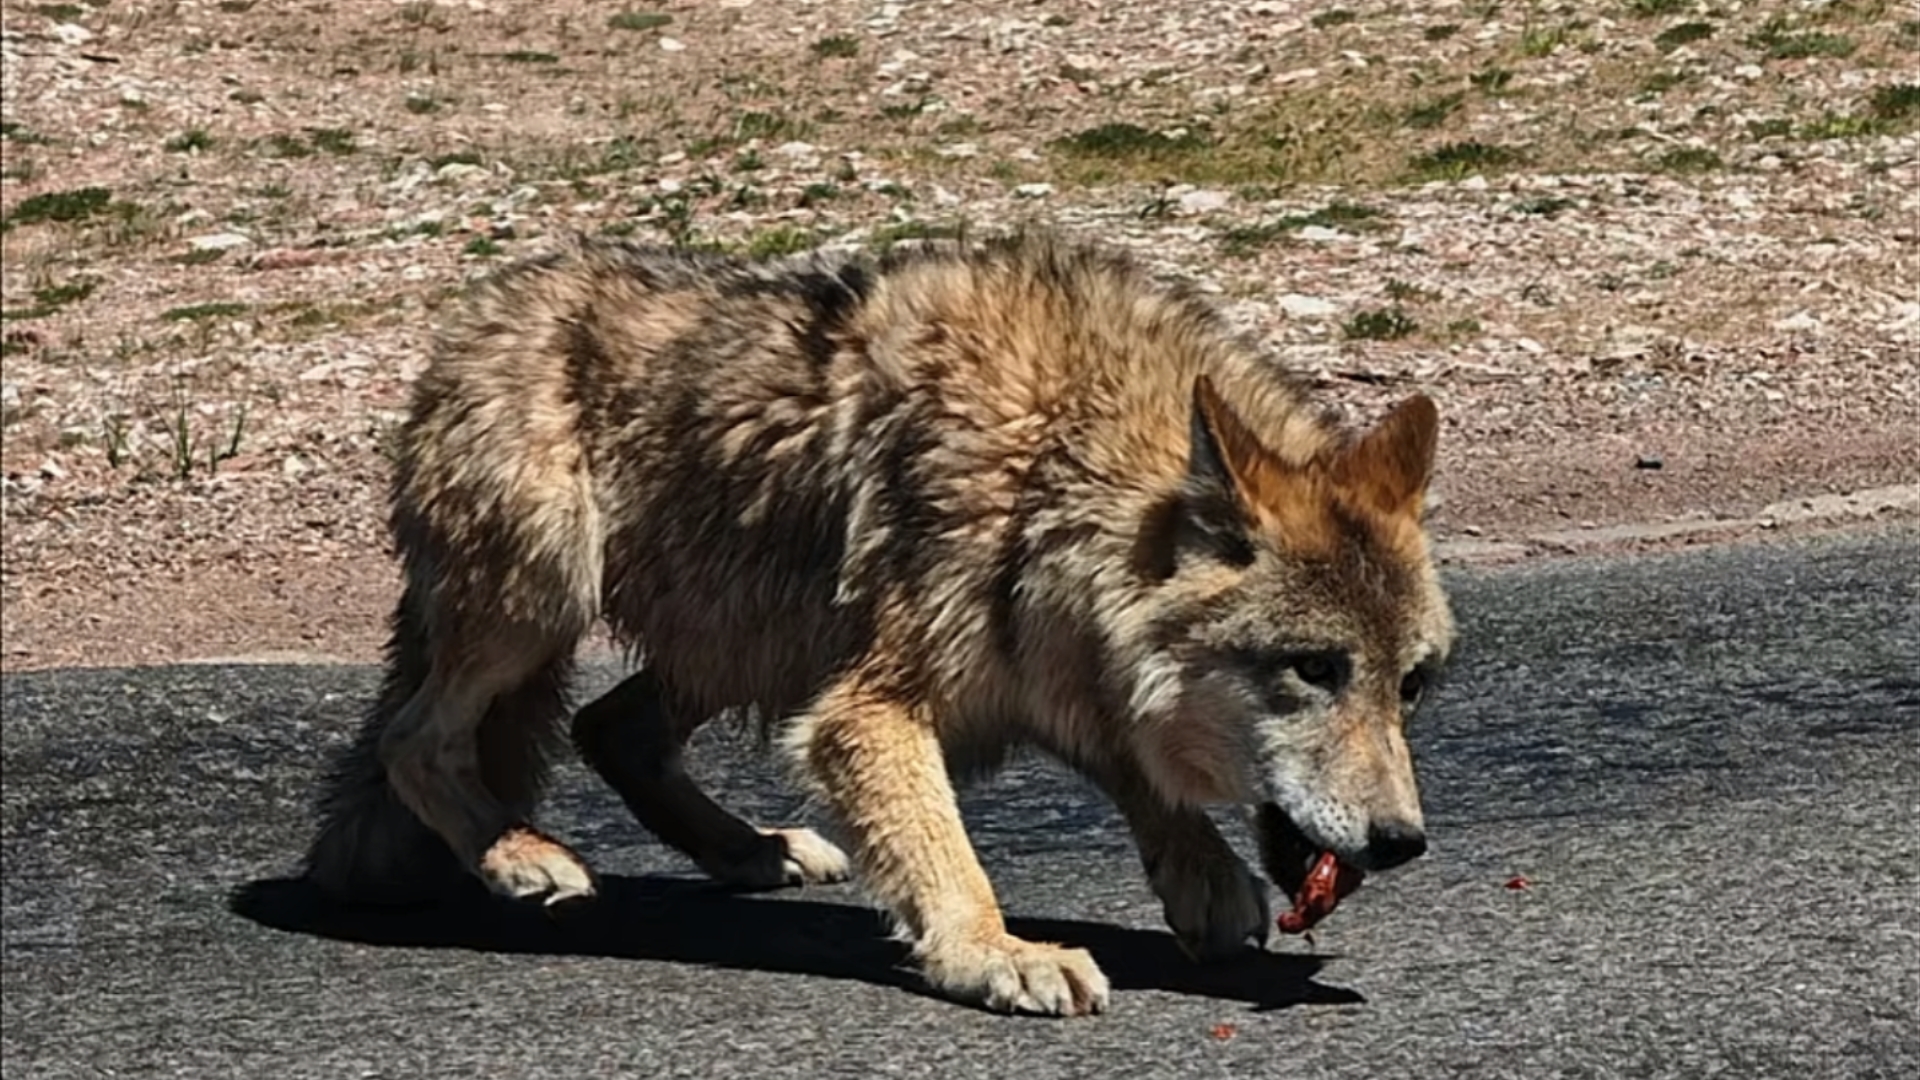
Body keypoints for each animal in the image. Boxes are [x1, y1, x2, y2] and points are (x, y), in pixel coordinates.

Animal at [303, 228, 1451, 1014]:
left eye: (1411, 683)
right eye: (1313, 668)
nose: (1403, 844)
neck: (1057, 459)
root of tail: (468, 321)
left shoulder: (1049, 664)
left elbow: (1137, 769)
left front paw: (1201, 881)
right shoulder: (866, 711)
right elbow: (948, 855)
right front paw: (999, 954)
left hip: (754, 634)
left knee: (606, 726)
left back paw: (752, 852)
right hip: (549, 591)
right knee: (415, 737)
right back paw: (517, 854)